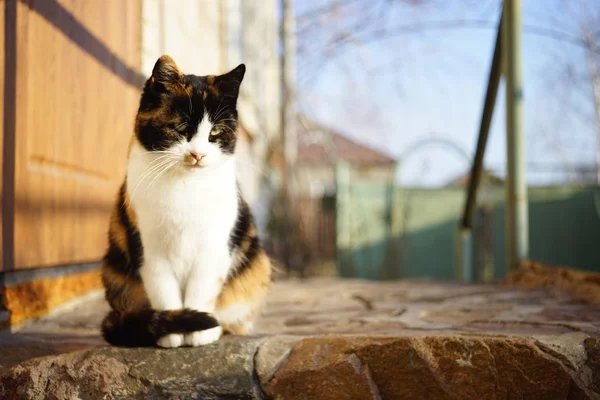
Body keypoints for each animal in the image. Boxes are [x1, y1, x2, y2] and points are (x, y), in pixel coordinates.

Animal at [102, 55, 270, 346]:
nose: (198, 155)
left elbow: (202, 289)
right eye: (180, 127)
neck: (184, 188)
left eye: (215, 132)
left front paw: (201, 332)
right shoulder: (148, 248)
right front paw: (172, 335)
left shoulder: (215, 247)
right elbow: (163, 290)